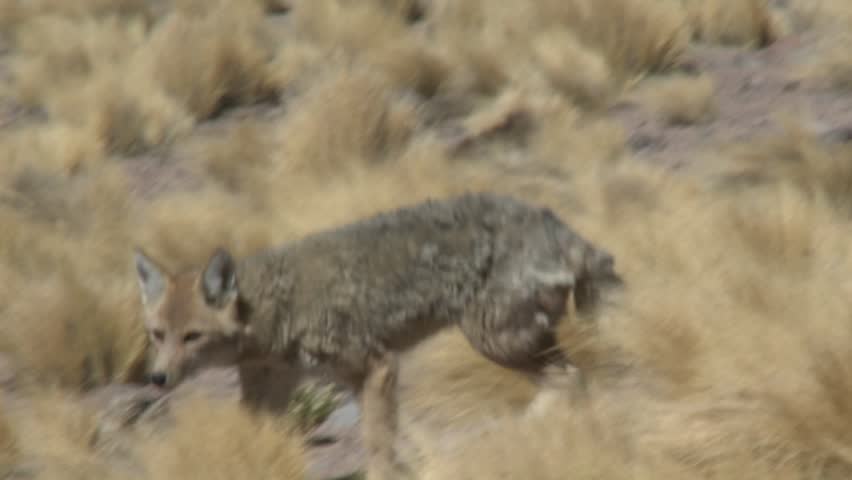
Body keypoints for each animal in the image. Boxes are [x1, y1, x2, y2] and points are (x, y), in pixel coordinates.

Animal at [132, 192, 622, 479]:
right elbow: (253, 440)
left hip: (495, 340)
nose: (157, 379)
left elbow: (377, 442)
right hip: (510, 340)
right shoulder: (269, 391)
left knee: (571, 378)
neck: (273, 310)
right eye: (157, 335)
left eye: (192, 337)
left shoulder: (378, 366)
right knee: (570, 379)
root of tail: (549, 220)